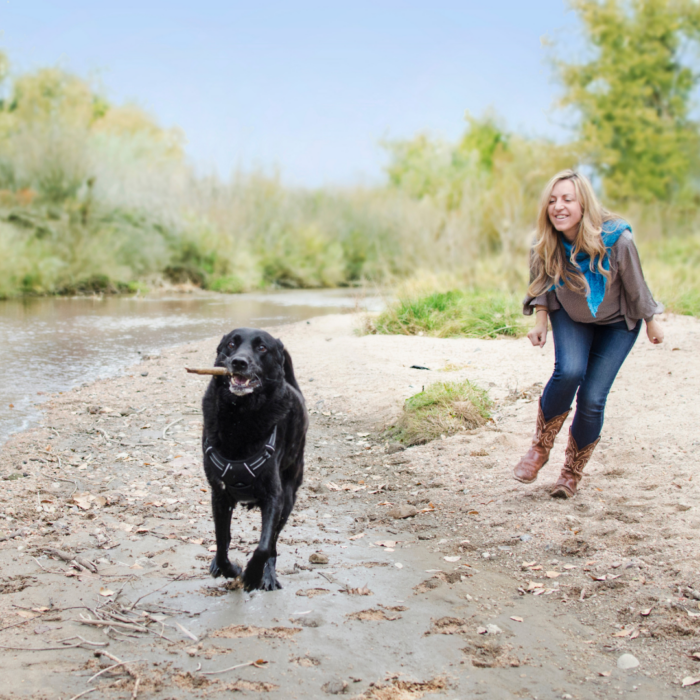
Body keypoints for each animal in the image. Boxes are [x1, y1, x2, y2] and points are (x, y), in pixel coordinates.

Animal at [198, 328, 304, 592]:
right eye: (231, 344)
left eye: (262, 348)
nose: (238, 362)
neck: (240, 416)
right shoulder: (219, 495)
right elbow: (221, 542)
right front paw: (230, 569)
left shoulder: (274, 496)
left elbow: (264, 547)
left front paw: (253, 575)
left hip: (289, 497)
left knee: (273, 544)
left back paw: (268, 575)